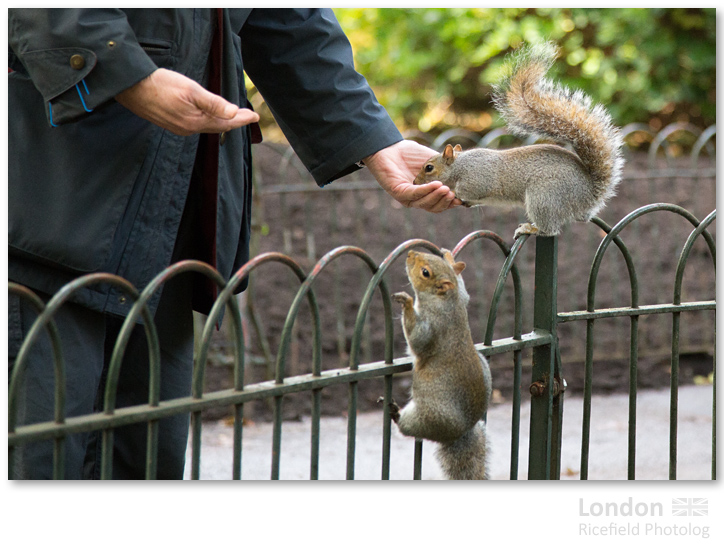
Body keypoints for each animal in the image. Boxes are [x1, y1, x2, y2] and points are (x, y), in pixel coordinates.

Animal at [384, 250, 492, 478]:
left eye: (425, 272)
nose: (410, 253)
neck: (446, 299)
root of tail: (462, 432)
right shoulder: (461, 297)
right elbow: (464, 291)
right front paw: (452, 261)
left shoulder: (432, 324)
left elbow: (418, 339)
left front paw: (407, 302)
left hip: (428, 418)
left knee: (407, 426)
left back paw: (396, 413)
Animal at [412, 43, 624, 239]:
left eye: (429, 168)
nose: (414, 181)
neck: (459, 165)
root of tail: (589, 196)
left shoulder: (477, 179)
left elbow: (471, 189)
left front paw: (457, 193)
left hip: (543, 197)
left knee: (550, 229)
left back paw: (530, 228)